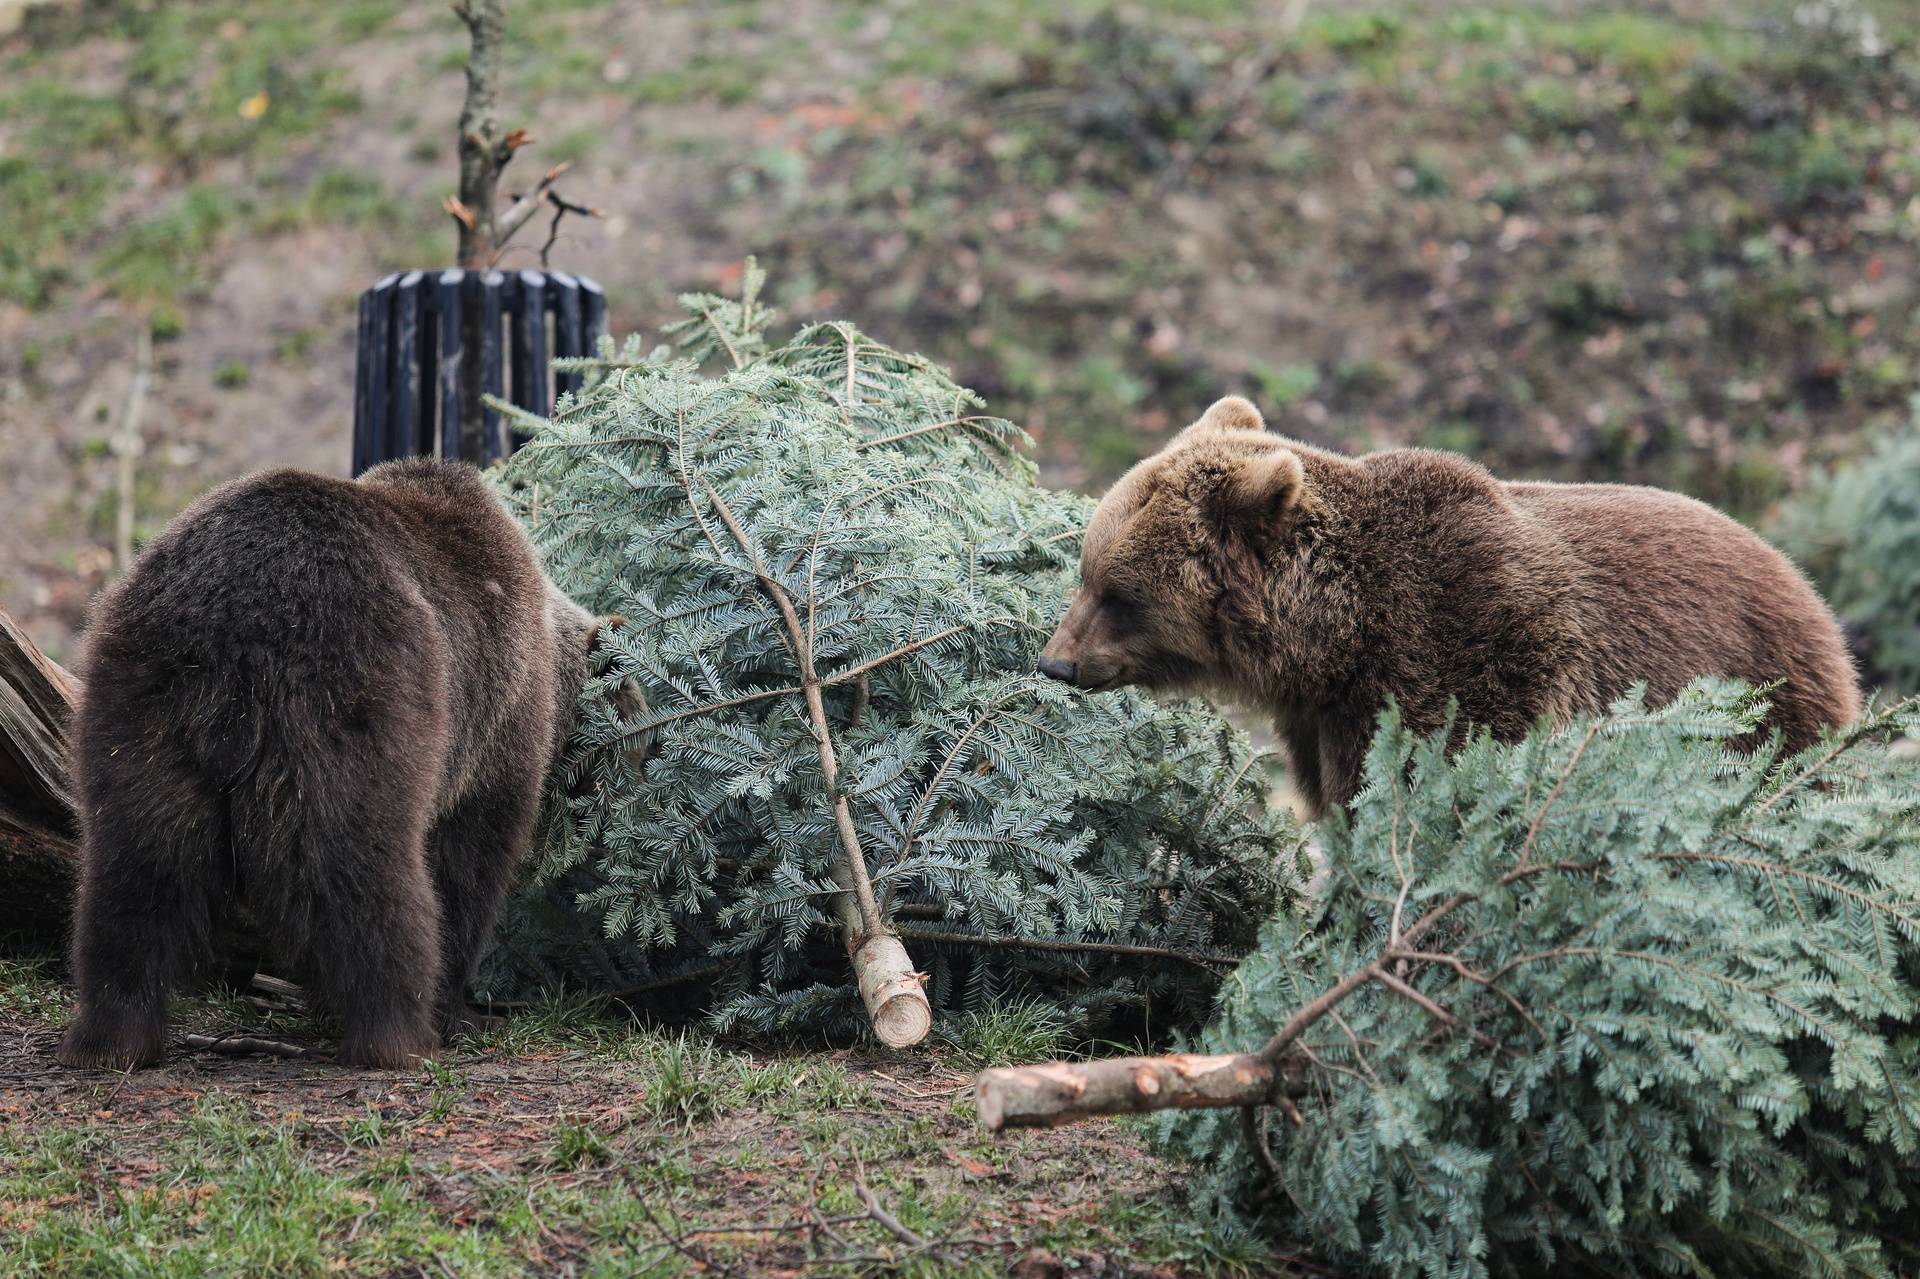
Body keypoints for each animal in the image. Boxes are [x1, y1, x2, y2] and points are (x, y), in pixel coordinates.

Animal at [60, 458, 618, 1067]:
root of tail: (235, 626)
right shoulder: (497, 721)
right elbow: (468, 861)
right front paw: (459, 1007)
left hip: (144, 703)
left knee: (138, 867)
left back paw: (112, 1033)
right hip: (352, 692)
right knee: (362, 869)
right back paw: (398, 1032)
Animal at [1036, 395, 1858, 818]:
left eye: (1120, 595)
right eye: (1086, 572)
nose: (1055, 663)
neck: (1337, 639)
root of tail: (1811, 594)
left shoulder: (1460, 657)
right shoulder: (1324, 719)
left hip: (1761, 709)